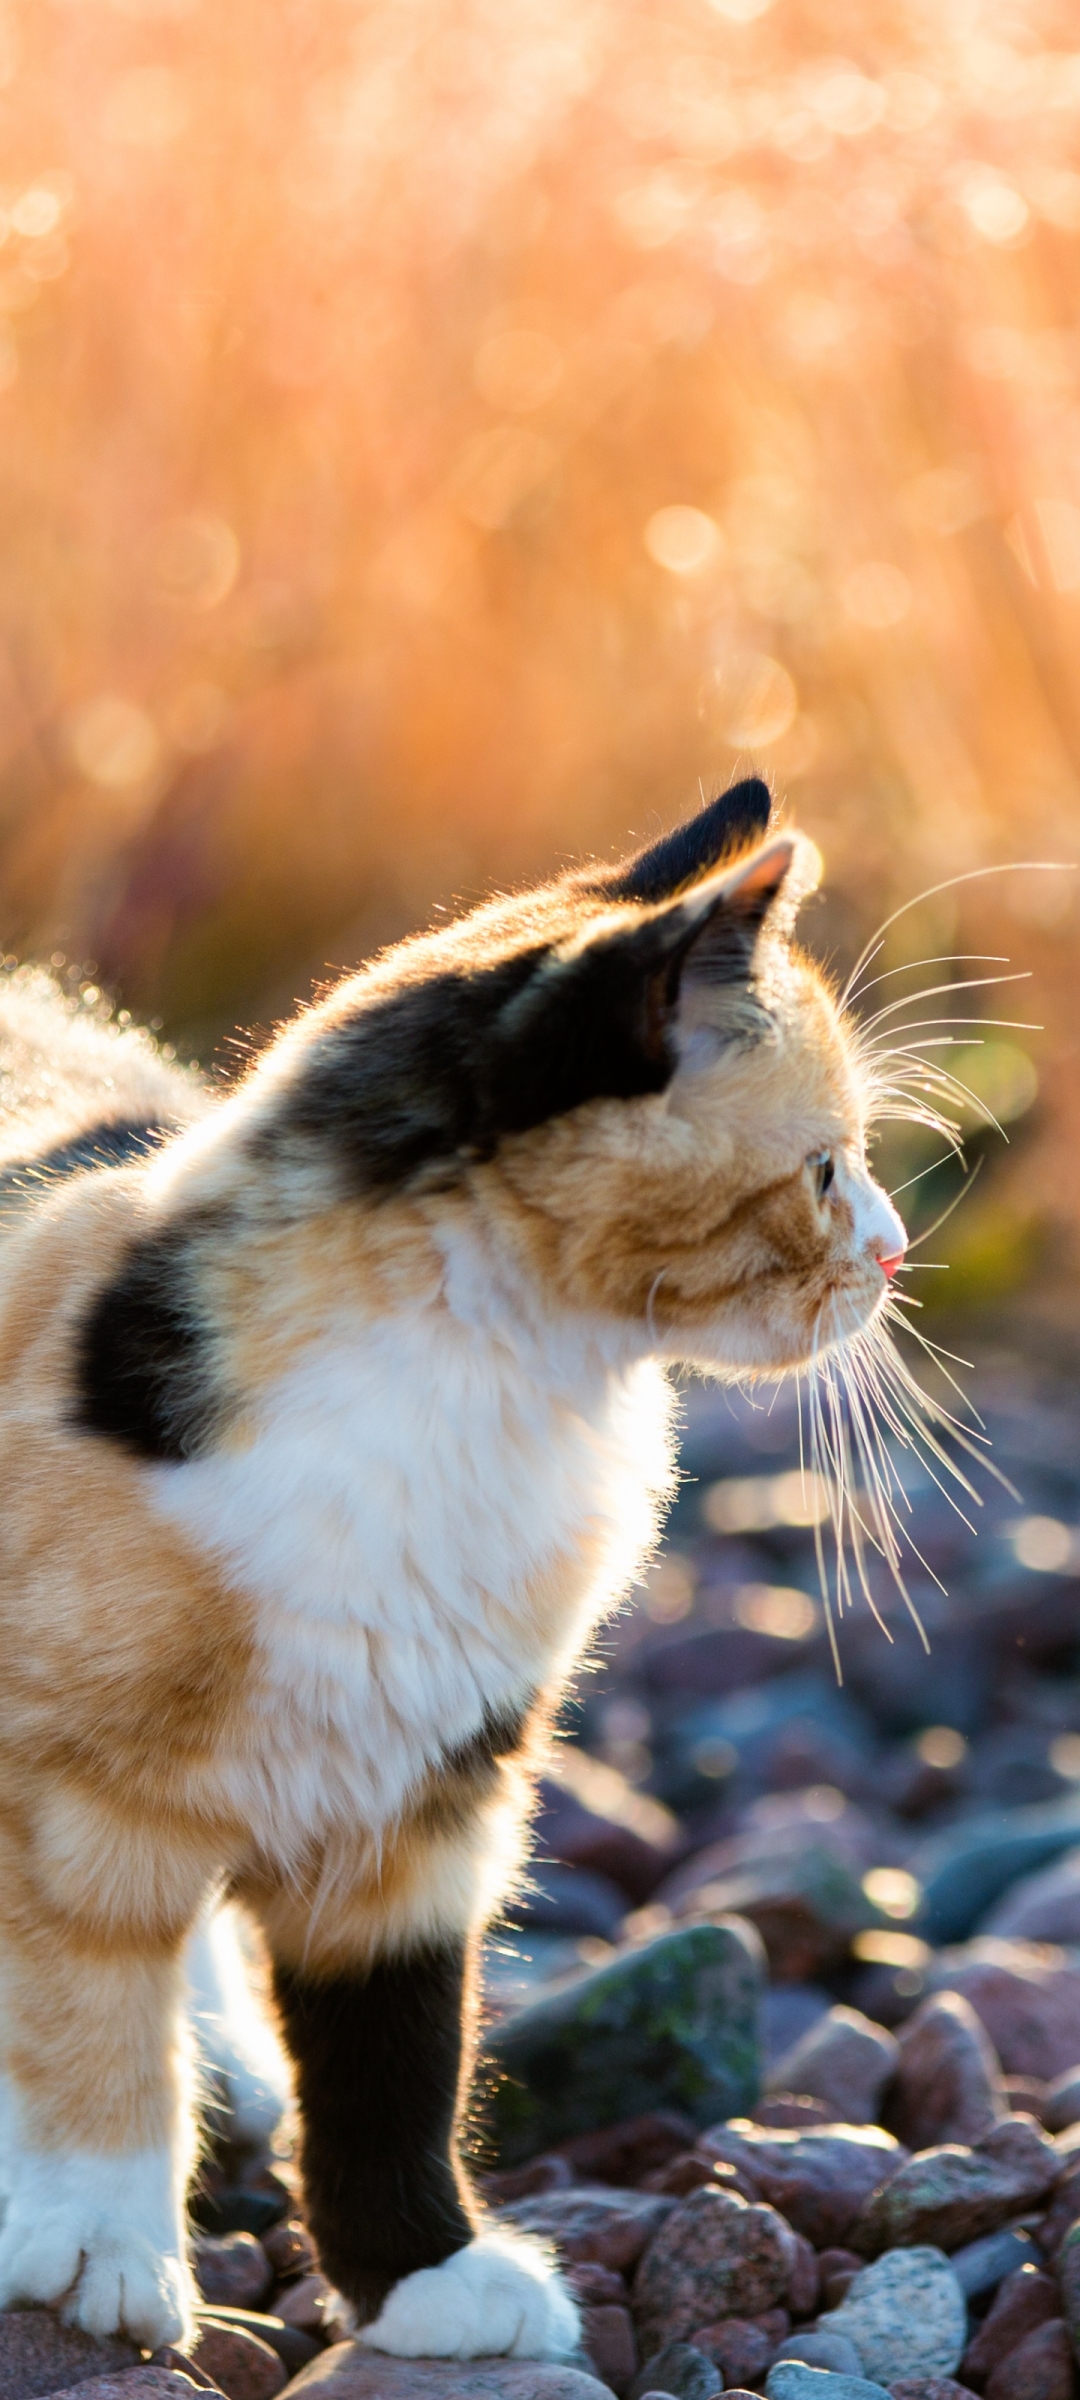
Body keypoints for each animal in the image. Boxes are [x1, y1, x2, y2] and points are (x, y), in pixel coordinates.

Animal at [0, 777, 902, 2352]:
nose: (900, 1255)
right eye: (826, 1168)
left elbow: (394, 2054)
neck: (483, 1388)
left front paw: (423, 2272)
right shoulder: (68, 1793)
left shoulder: (428, 1790)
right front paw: (102, 2257)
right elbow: (88, 2019)